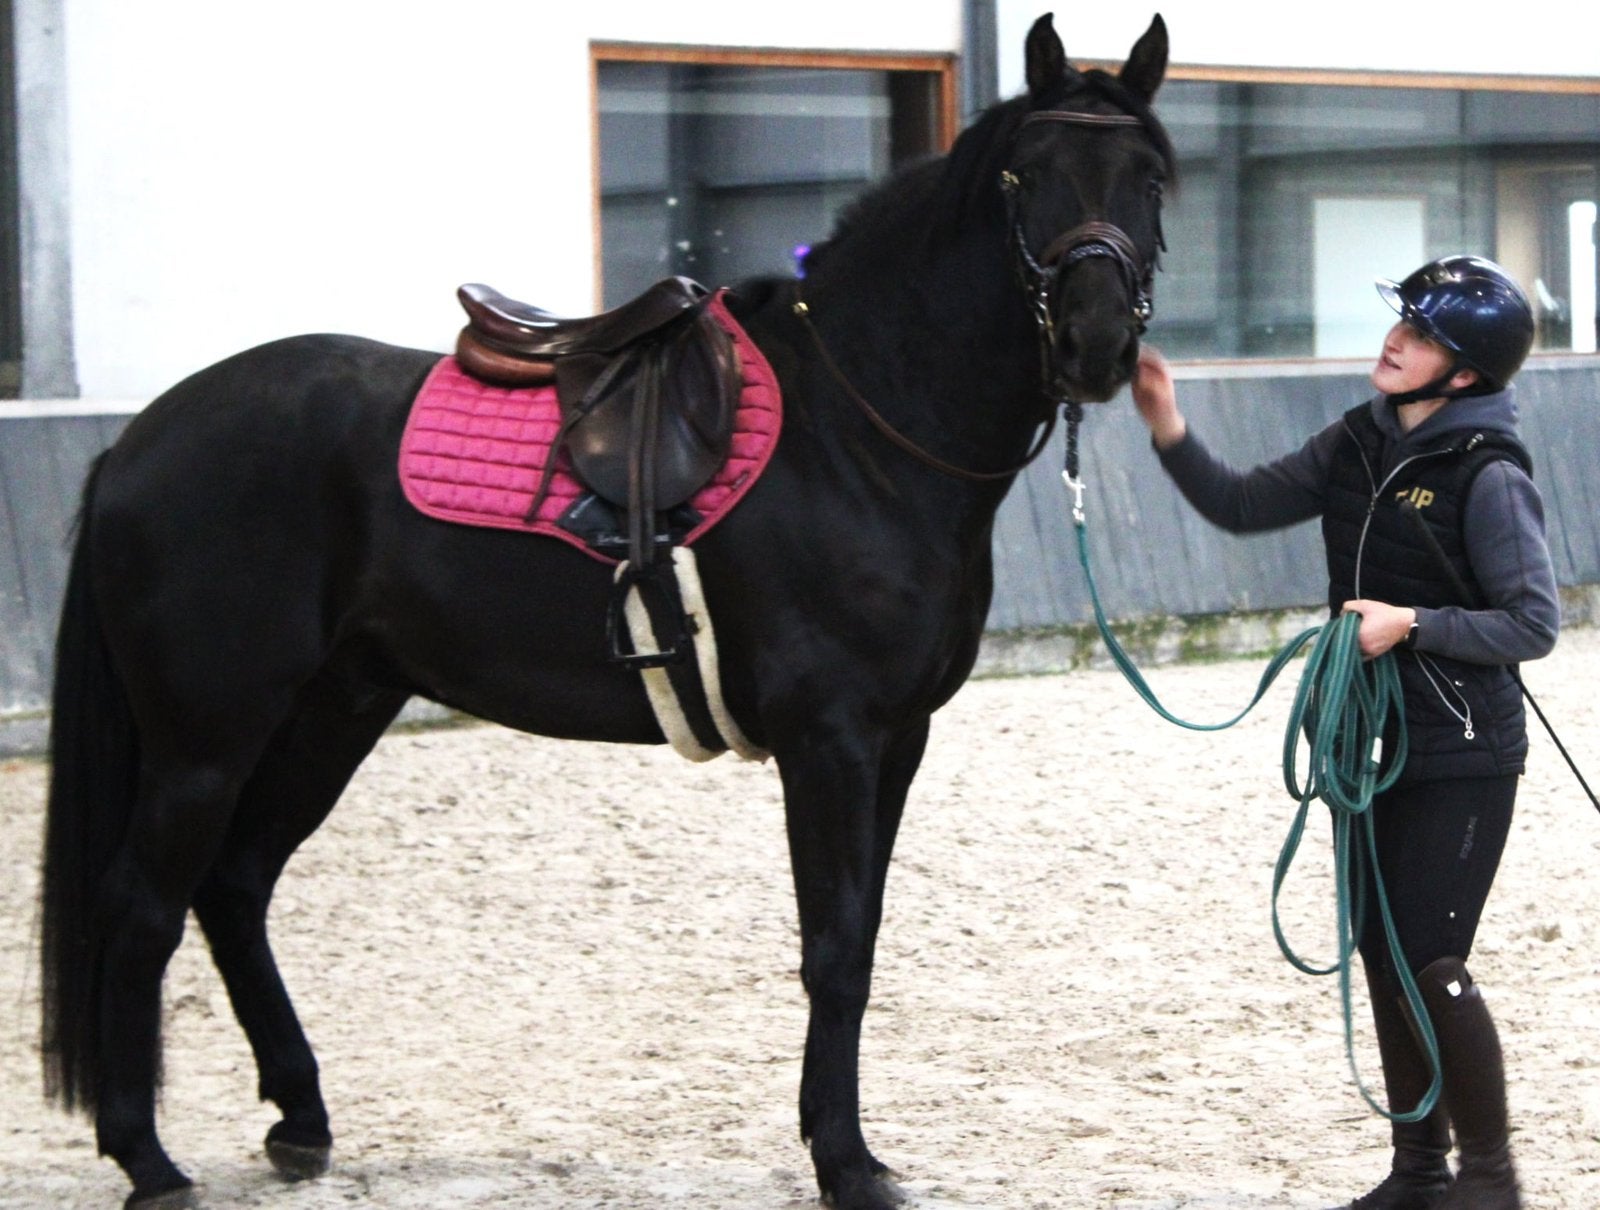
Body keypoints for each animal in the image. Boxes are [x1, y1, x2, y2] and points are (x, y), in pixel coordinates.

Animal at [38, 13, 1173, 1209]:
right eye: (1024, 175)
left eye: (1149, 177)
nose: (1096, 342)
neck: (858, 427)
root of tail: (136, 442)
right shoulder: (829, 739)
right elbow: (832, 947)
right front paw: (845, 1160)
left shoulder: (896, 739)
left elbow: (859, 938)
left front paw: (845, 1145)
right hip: (207, 735)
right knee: (141, 907)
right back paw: (147, 1157)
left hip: (332, 709)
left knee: (235, 885)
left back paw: (300, 1119)